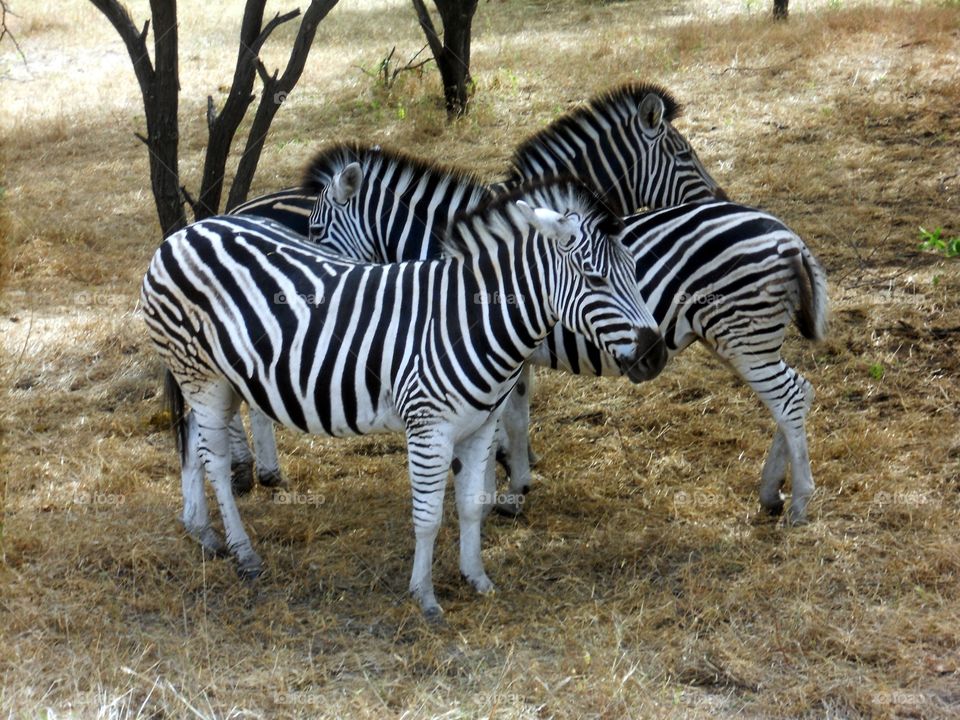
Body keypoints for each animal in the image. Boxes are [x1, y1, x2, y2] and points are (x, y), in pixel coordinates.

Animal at [141, 176, 667, 616]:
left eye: (634, 268)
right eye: (595, 279)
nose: (655, 355)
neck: (470, 320)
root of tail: (185, 232)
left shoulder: (481, 426)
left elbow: (472, 504)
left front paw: (477, 578)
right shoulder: (429, 429)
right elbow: (429, 516)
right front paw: (425, 597)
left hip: (212, 377)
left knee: (192, 438)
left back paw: (201, 531)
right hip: (202, 376)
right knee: (215, 461)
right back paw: (243, 552)